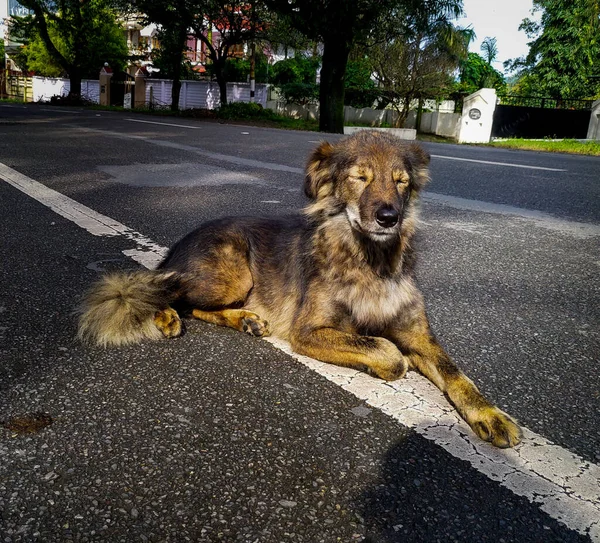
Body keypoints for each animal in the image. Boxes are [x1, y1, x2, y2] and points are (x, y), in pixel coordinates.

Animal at [78, 130, 520, 448]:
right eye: (360, 178)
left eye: (401, 182)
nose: (389, 217)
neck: (370, 261)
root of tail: (179, 246)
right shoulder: (309, 332)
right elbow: (387, 352)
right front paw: (382, 362)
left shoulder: (419, 335)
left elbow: (457, 374)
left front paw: (489, 414)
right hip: (232, 271)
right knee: (168, 292)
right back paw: (165, 314)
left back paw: (247, 320)